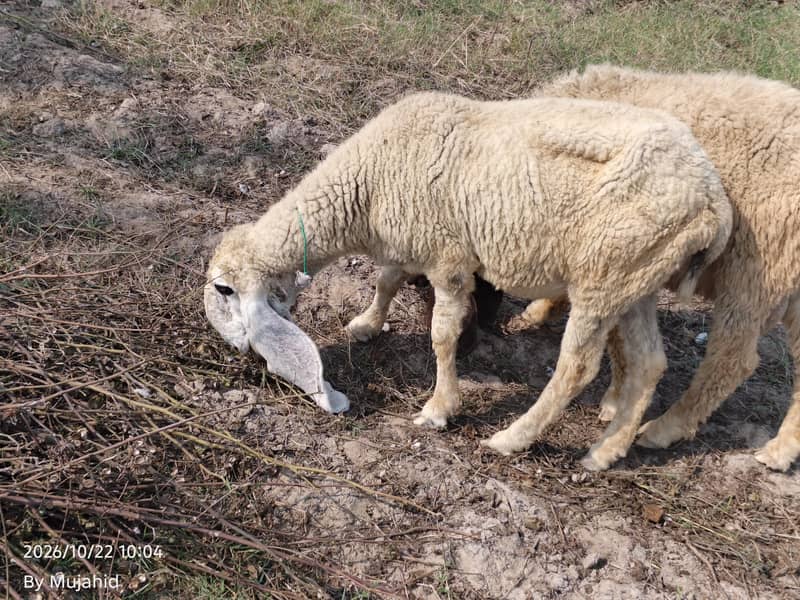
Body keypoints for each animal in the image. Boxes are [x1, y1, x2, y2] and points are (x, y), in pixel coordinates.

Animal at [204, 91, 732, 470]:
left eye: (224, 290)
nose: (238, 352)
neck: (367, 183)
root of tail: (713, 202)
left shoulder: (448, 259)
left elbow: (442, 335)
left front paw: (440, 407)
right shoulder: (412, 242)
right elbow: (386, 282)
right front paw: (366, 325)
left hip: (603, 274)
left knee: (577, 368)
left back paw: (513, 438)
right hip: (638, 277)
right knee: (648, 364)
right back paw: (606, 452)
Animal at [487, 64, 800, 471]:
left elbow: (616, 342)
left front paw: (614, 401)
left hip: (755, 271)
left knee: (731, 360)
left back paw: (665, 428)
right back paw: (781, 450)